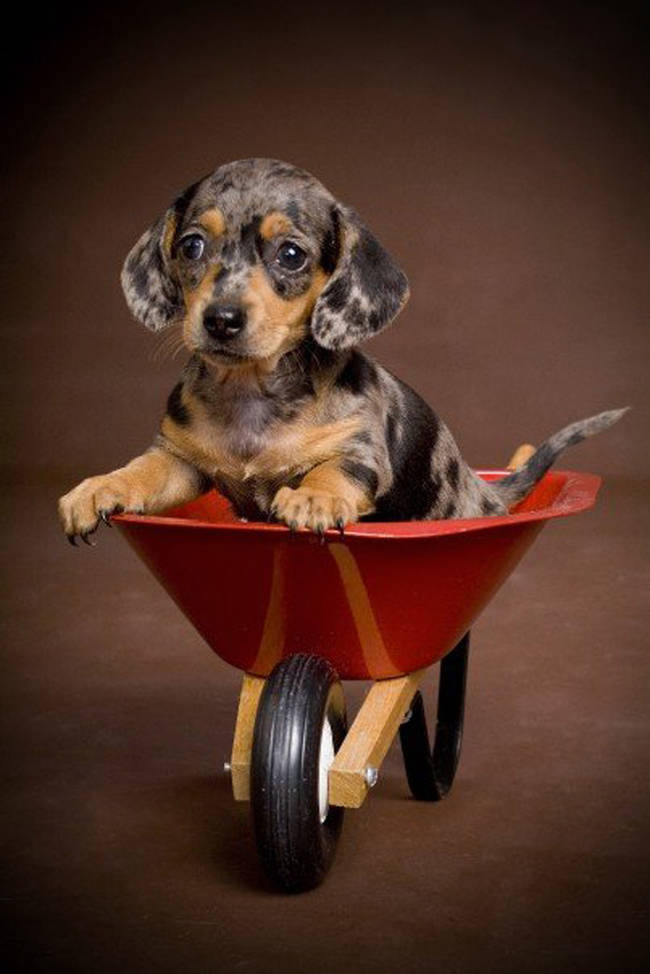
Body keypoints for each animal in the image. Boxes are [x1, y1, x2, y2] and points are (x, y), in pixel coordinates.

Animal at [58, 156, 624, 544]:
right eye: (191, 246)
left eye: (291, 255)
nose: (220, 320)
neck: (252, 396)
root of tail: (483, 489)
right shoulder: (181, 458)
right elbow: (145, 470)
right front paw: (99, 486)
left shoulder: (359, 451)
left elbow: (333, 468)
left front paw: (313, 497)